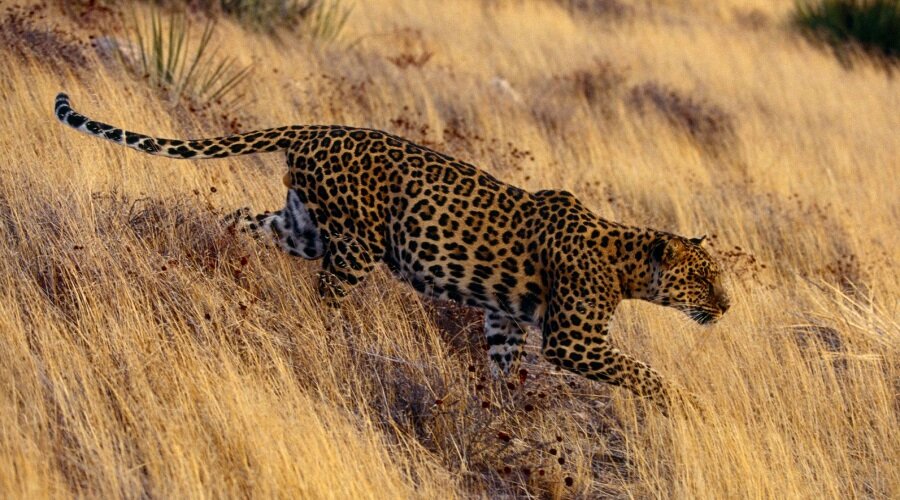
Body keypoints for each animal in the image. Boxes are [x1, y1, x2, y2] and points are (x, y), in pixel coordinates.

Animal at [52, 93, 732, 414]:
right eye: (702, 281)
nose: (726, 308)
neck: (625, 262)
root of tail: (314, 128)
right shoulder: (575, 341)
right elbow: (642, 372)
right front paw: (686, 408)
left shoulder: (506, 319)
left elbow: (505, 367)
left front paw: (508, 411)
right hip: (357, 245)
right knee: (325, 300)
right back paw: (329, 342)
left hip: (303, 226)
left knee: (240, 221)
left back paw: (212, 260)